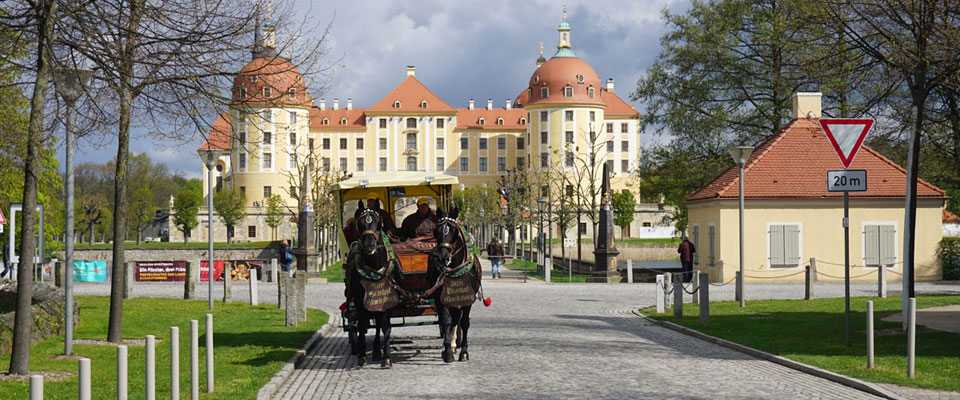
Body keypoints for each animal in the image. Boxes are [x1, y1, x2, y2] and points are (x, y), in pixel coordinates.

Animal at [344, 203, 398, 368]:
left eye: (378, 223)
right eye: (360, 223)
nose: (370, 245)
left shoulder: (386, 299)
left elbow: (385, 326)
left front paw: (386, 357)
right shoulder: (360, 300)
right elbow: (361, 325)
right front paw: (362, 356)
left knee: (379, 323)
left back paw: (376, 350)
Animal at [428, 208, 480, 364]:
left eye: (454, 231)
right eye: (436, 230)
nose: (443, 257)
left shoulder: (467, 298)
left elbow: (464, 322)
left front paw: (464, 352)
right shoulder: (440, 298)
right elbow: (446, 320)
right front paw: (447, 352)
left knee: (457, 319)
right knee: (450, 319)